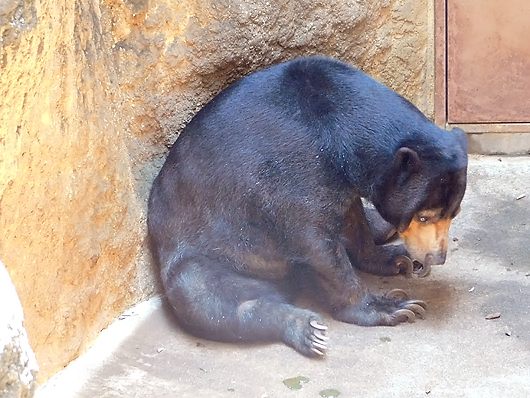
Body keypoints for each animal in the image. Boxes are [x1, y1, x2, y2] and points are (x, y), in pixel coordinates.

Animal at [146, 56, 464, 358]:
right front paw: (393, 306)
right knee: (218, 301)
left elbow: (352, 218)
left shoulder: (340, 180)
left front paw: (396, 259)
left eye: (453, 214)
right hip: (206, 258)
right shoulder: (294, 168)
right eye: (423, 217)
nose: (436, 257)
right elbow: (315, 241)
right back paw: (307, 329)